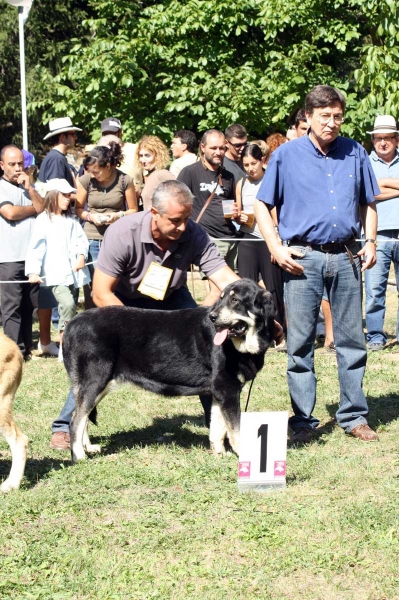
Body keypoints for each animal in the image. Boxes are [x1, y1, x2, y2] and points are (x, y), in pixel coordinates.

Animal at [64, 278, 276, 462]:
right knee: (75, 421)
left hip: (99, 385)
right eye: (222, 298)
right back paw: (79, 456)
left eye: (234, 300)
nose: (212, 317)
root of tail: (72, 324)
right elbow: (236, 430)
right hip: (95, 381)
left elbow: (218, 428)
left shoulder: (219, 392)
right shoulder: (227, 389)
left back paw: (88, 447)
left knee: (81, 417)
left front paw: (219, 454)